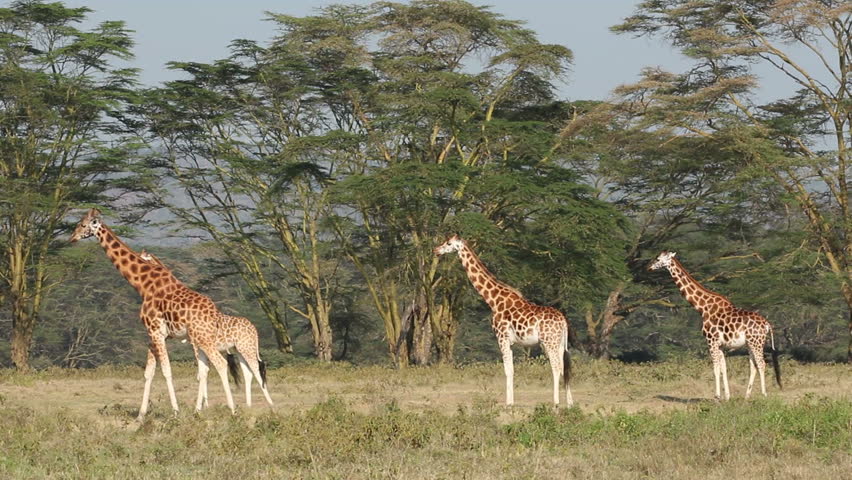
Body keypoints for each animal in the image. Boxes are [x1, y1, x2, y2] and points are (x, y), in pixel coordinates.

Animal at [70, 208, 243, 418]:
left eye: (82, 224)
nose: (72, 238)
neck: (142, 285)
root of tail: (214, 314)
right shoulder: (153, 335)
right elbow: (149, 372)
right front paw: (141, 415)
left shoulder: (155, 332)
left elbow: (167, 370)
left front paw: (175, 411)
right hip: (201, 339)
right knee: (207, 368)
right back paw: (203, 410)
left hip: (202, 338)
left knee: (220, 364)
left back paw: (232, 410)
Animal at [139, 249, 272, 410]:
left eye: (143, 259)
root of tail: (254, 329)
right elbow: (203, 372)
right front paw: (203, 405)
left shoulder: (197, 346)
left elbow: (202, 373)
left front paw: (202, 406)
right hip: (240, 349)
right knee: (248, 372)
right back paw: (248, 405)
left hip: (247, 347)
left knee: (256, 370)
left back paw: (271, 405)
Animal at [436, 234, 576, 406]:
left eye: (448, 243)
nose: (436, 250)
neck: (493, 300)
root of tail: (563, 321)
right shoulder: (509, 341)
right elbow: (512, 370)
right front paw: (511, 401)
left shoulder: (501, 337)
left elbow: (507, 370)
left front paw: (508, 403)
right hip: (560, 343)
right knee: (565, 368)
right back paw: (569, 403)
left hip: (549, 342)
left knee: (556, 367)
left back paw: (555, 403)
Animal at [648, 249, 784, 400]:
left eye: (658, 259)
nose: (649, 267)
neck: (702, 307)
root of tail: (767, 324)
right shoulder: (720, 345)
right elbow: (723, 368)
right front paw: (727, 397)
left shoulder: (711, 340)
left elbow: (715, 368)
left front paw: (717, 397)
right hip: (751, 343)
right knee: (753, 365)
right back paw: (746, 396)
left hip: (756, 342)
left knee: (761, 364)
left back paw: (764, 394)